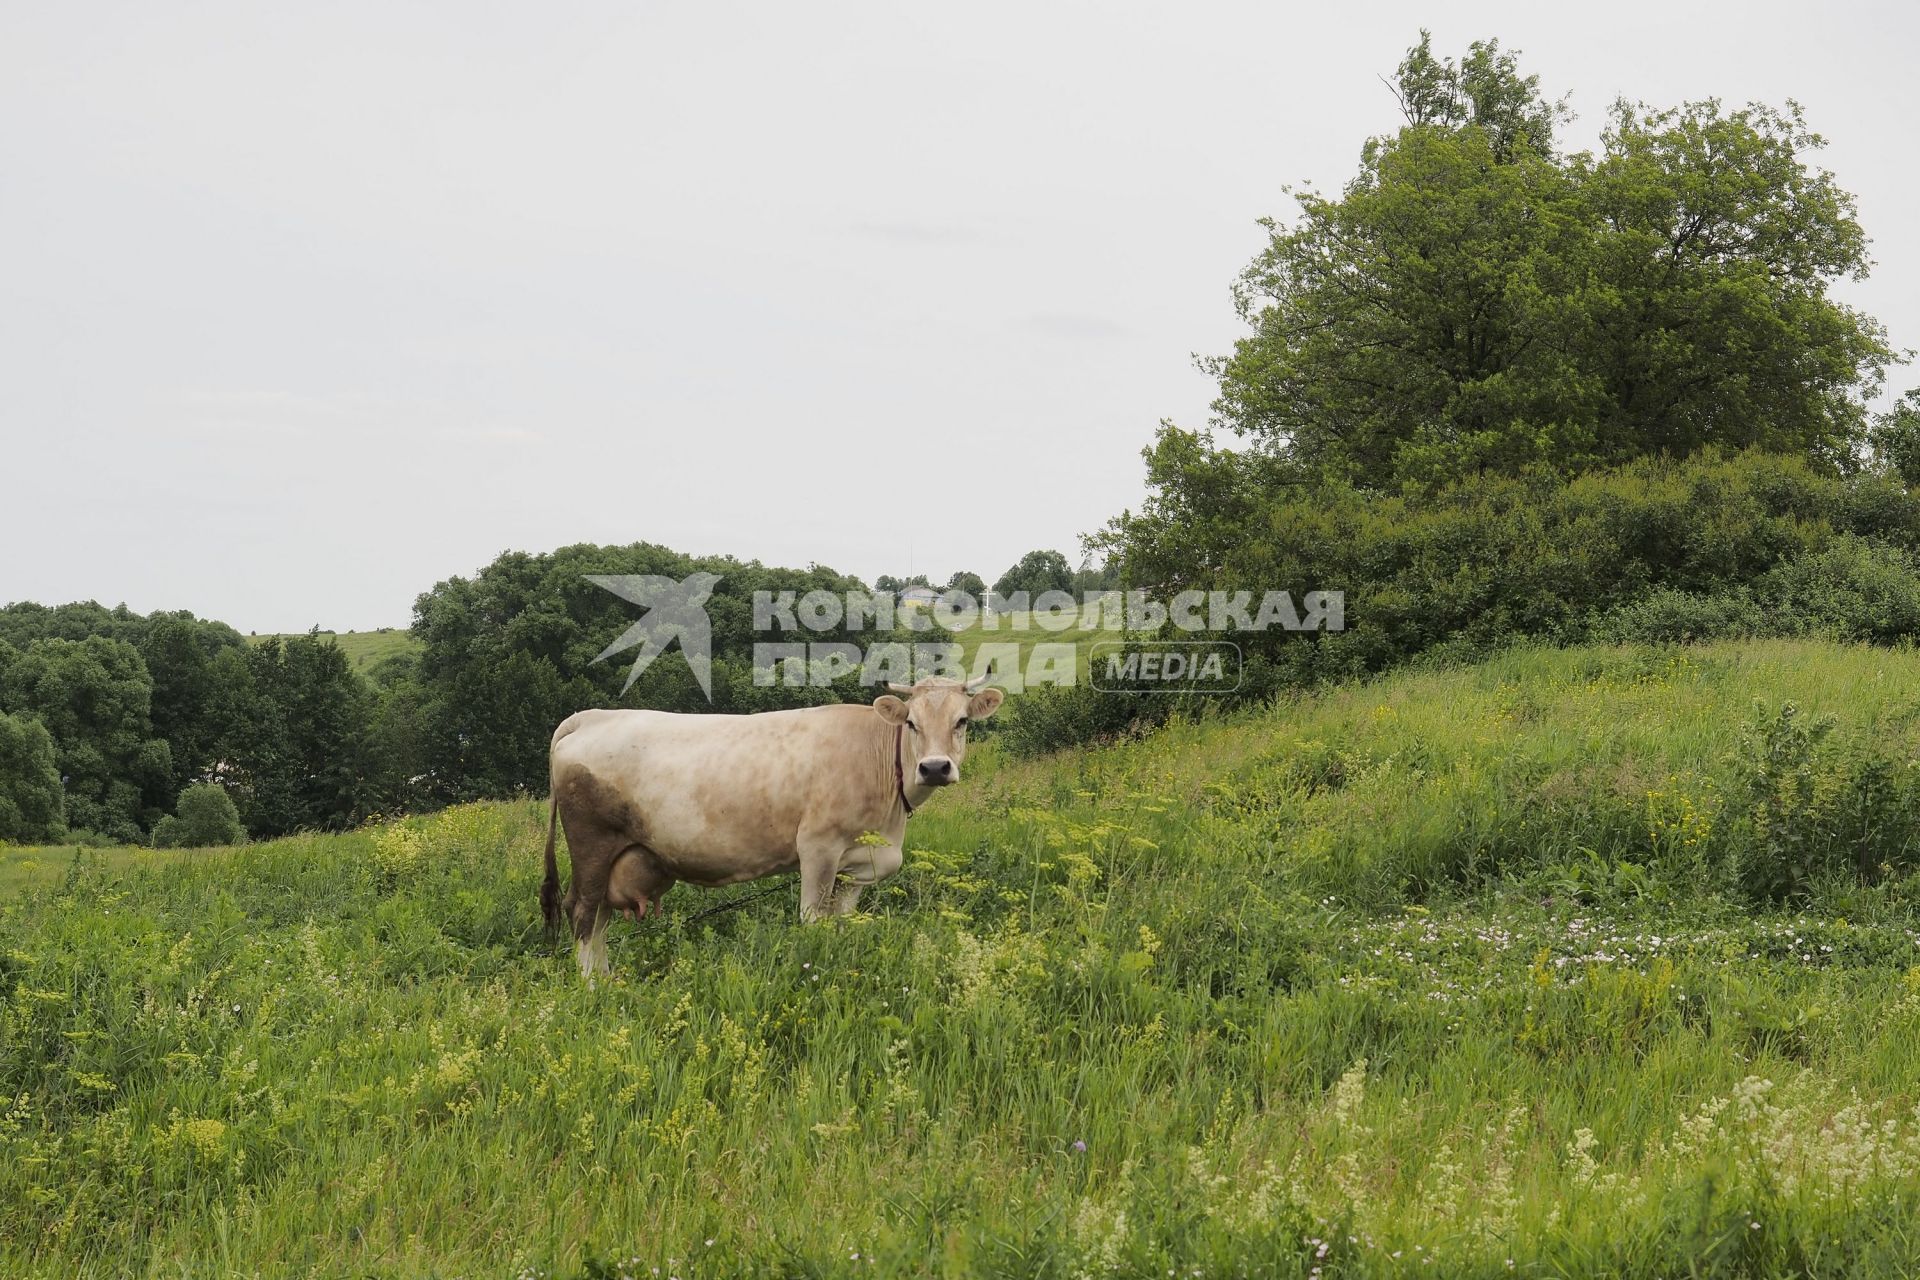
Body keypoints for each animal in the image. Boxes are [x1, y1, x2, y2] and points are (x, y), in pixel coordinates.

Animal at [533, 675, 998, 974]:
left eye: (962, 721)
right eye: (911, 723)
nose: (934, 768)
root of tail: (591, 715)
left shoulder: (857, 867)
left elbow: (842, 923)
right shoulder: (818, 849)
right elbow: (812, 919)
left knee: (599, 918)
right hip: (592, 846)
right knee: (583, 913)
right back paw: (595, 988)